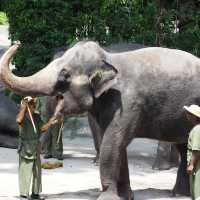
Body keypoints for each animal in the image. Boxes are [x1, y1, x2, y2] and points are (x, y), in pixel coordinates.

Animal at [1, 41, 200, 200]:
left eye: (64, 76)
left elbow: (113, 143)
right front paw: (125, 196)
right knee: (184, 147)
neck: (108, 58)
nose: (17, 43)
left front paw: (108, 197)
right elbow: (116, 145)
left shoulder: (127, 102)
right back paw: (179, 194)